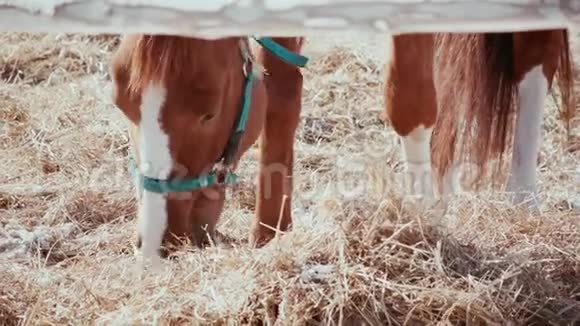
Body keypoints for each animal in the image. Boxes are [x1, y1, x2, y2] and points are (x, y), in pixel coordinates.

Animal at [111, 29, 572, 266]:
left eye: (208, 113)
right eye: (121, 104)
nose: (154, 243)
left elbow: (409, 101)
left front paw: (424, 227)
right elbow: (281, 87)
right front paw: (271, 235)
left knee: (536, 56)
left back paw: (523, 201)